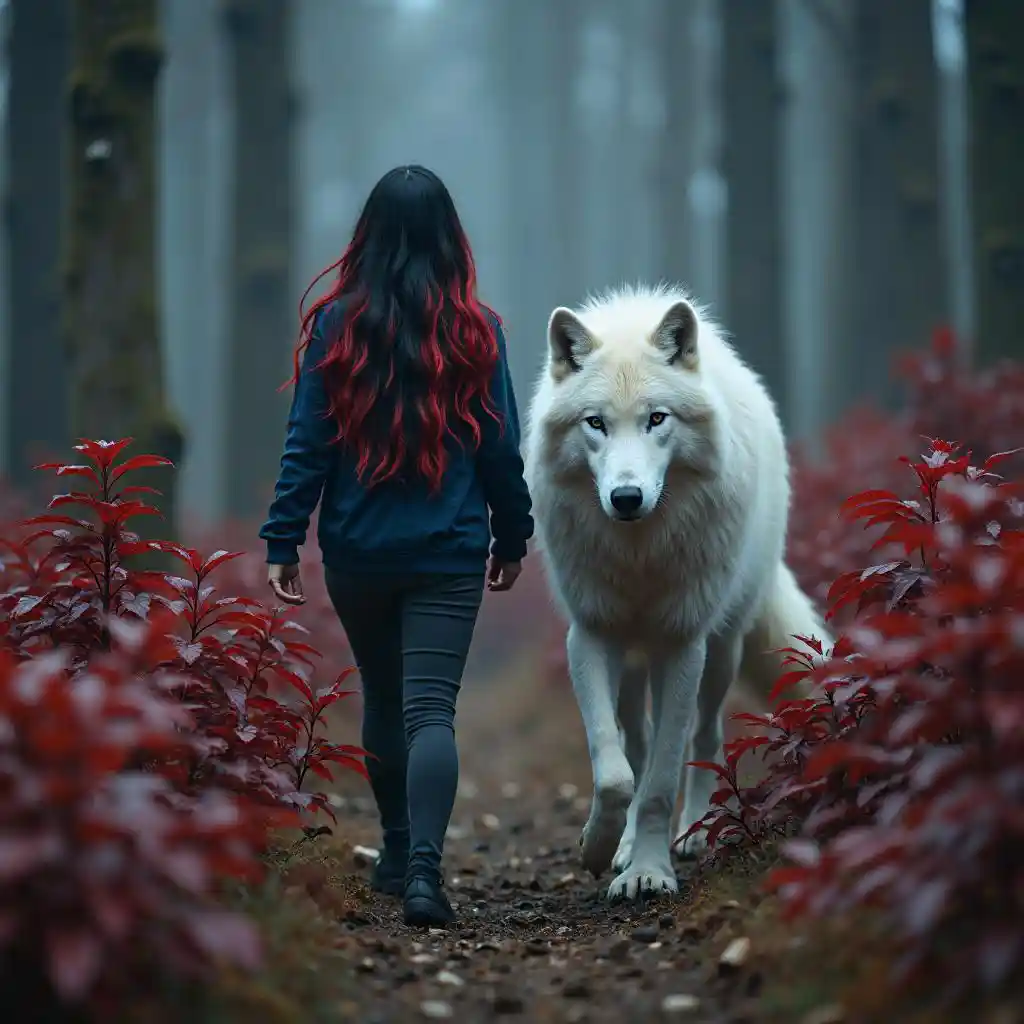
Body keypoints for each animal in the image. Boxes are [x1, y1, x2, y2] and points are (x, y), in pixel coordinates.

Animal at [523, 283, 829, 902]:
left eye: (656, 419)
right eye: (595, 424)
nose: (626, 497)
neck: (639, 552)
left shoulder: (682, 644)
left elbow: (665, 777)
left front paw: (649, 871)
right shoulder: (591, 635)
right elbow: (615, 771)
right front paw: (601, 848)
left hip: (721, 650)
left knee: (704, 738)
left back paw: (692, 833)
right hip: (634, 662)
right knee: (636, 742)